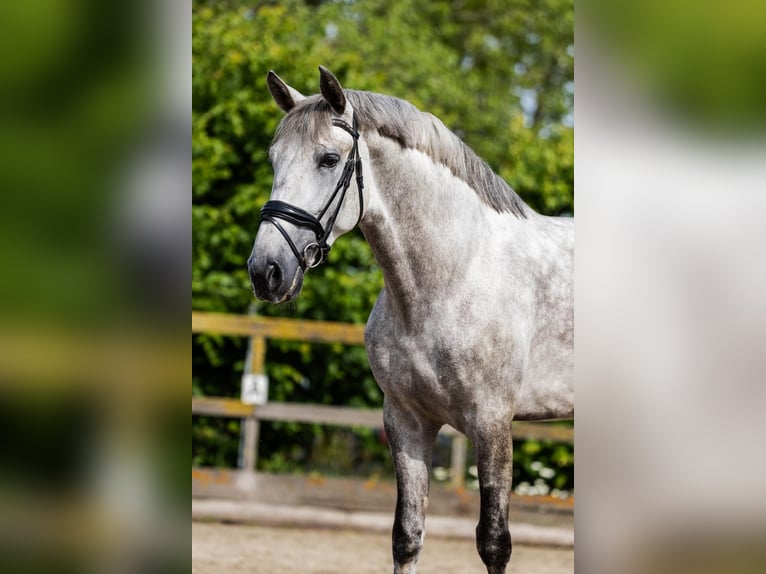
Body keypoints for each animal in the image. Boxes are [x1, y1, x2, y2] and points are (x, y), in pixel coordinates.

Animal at [247, 67, 573, 574]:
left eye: (328, 159)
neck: (454, 273)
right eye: (272, 159)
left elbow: (494, 543)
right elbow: (407, 535)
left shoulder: (493, 424)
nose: (266, 270)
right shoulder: (405, 421)